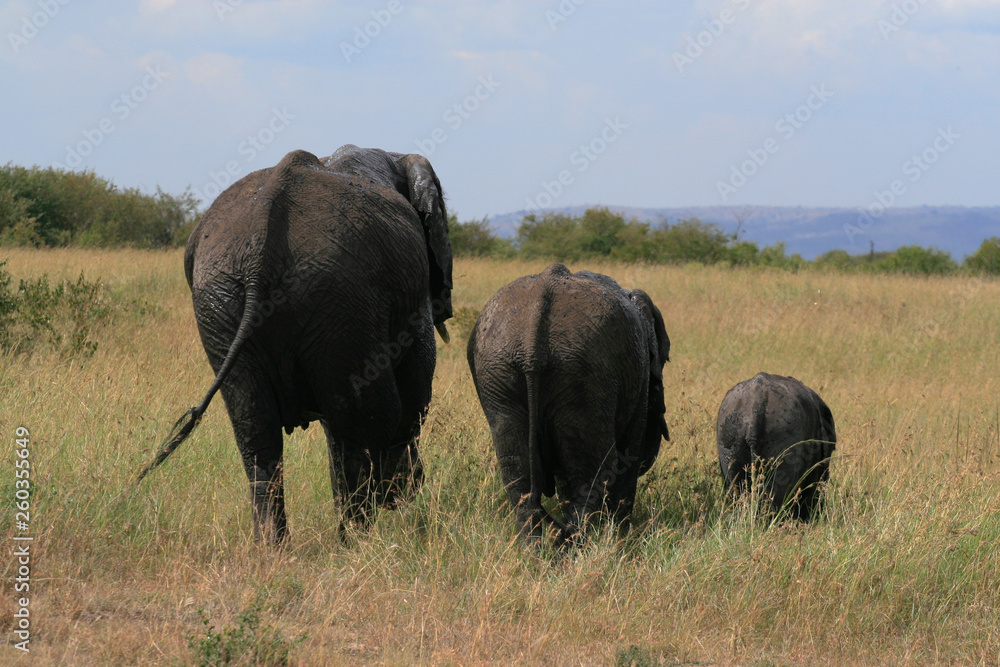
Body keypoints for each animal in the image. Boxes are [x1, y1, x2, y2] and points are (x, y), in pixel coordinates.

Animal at [137, 145, 453, 543]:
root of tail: (261, 246)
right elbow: (416, 389)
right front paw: (400, 493)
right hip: (336, 298)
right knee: (368, 425)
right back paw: (359, 541)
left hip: (223, 301)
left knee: (259, 434)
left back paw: (277, 549)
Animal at [466, 263, 670, 543]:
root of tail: (531, 345)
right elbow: (628, 459)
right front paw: (621, 538)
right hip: (584, 373)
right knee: (596, 472)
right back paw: (576, 544)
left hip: (499, 370)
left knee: (516, 472)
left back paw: (535, 550)